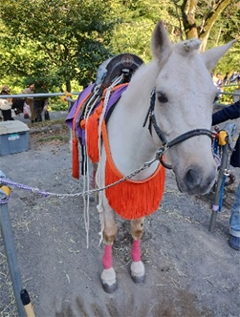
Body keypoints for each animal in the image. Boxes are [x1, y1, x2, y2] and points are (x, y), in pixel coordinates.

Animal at [82, 20, 234, 292]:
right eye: (161, 96)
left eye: (215, 97)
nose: (201, 177)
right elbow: (109, 232)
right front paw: (108, 274)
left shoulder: (142, 192)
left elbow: (137, 230)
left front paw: (136, 267)